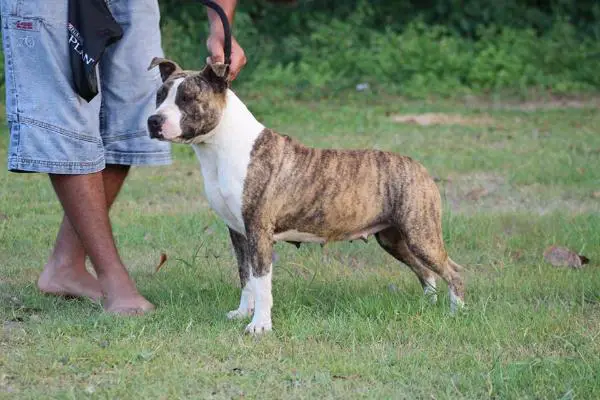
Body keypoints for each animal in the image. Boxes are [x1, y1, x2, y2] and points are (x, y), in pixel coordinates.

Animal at [148, 57, 466, 334]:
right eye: (159, 96)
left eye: (188, 98)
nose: (153, 121)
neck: (222, 147)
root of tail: (419, 167)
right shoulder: (238, 232)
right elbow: (246, 277)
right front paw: (241, 313)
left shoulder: (259, 231)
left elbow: (261, 281)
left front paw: (259, 325)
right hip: (393, 238)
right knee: (426, 272)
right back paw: (428, 305)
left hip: (420, 234)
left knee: (453, 271)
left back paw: (457, 312)